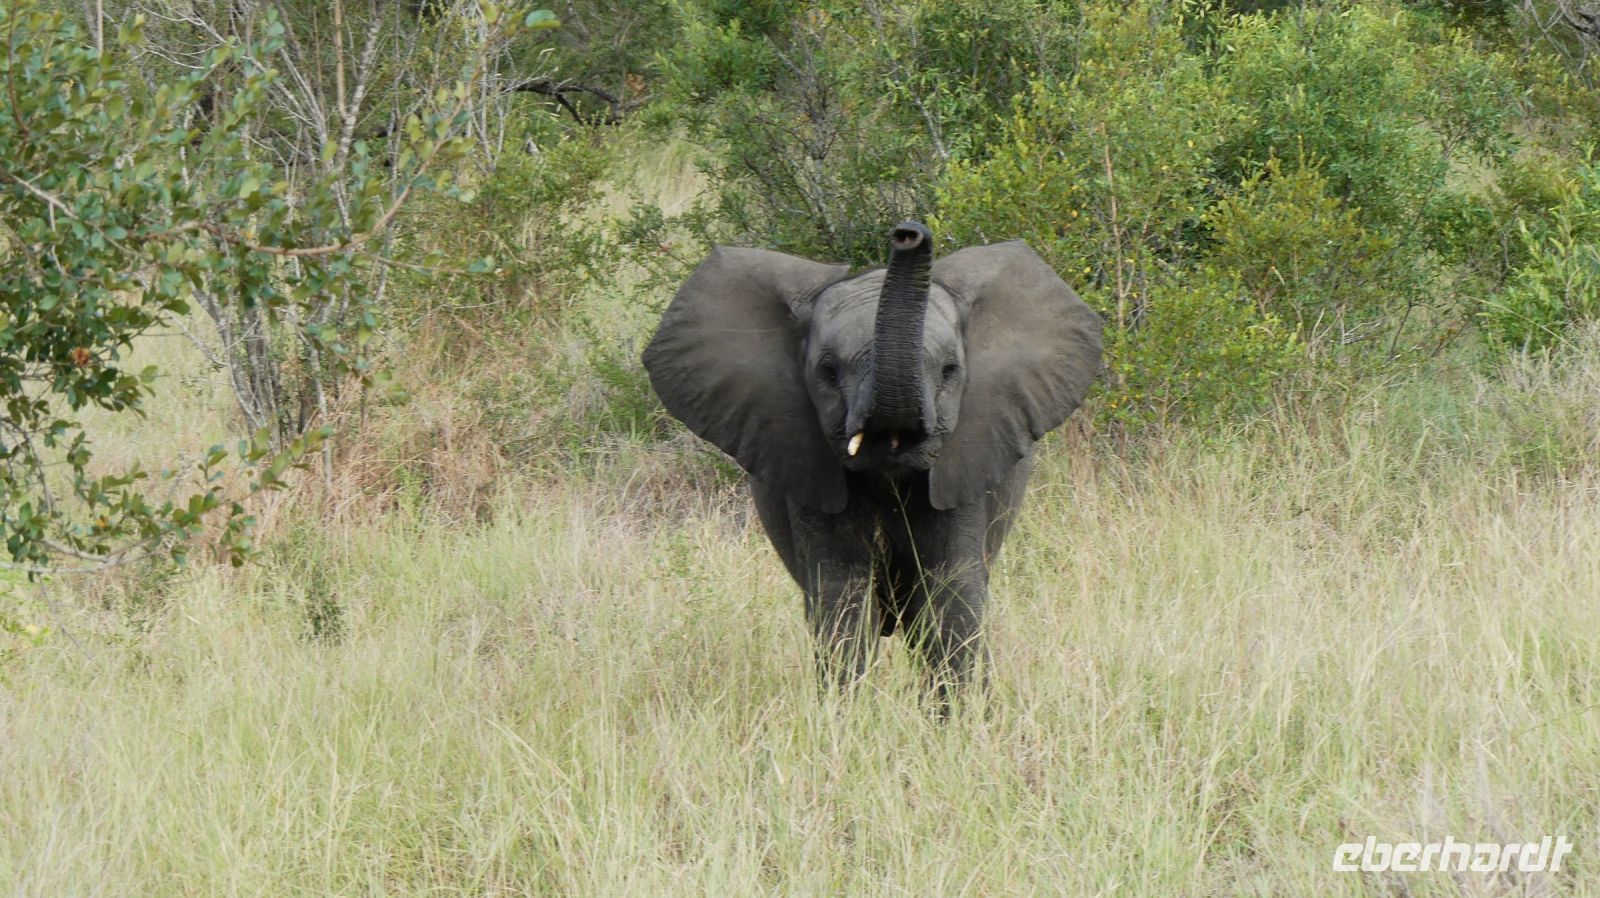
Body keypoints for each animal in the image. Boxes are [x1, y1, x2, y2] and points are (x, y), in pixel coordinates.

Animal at [642, 222, 1102, 700]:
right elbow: (841, 592)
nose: (908, 232)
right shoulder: (809, 466)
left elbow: (950, 590)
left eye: (950, 371)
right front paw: (843, 715)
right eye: (827, 372)